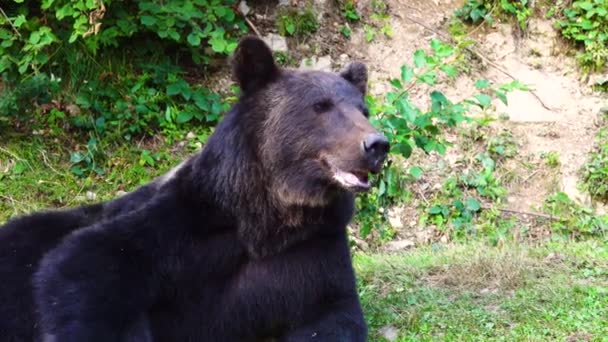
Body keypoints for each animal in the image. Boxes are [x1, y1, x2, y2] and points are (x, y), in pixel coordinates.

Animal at [4, 36, 390, 340]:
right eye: (321, 106)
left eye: (363, 109)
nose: (377, 145)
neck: (271, 216)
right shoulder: (190, 225)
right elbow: (88, 265)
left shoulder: (312, 249)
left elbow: (331, 313)